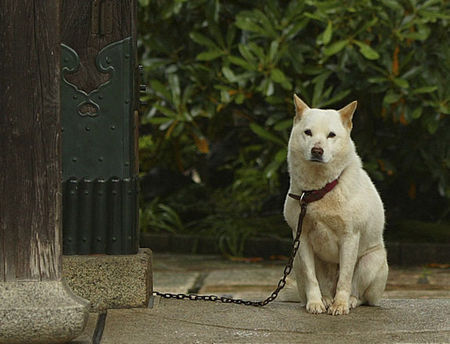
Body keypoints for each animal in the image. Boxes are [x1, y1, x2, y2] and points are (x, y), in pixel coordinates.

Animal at [284, 94, 386, 314]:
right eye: (308, 132)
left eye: (331, 135)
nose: (317, 150)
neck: (320, 190)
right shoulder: (302, 238)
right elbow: (312, 278)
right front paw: (315, 302)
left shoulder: (350, 237)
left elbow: (345, 279)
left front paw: (340, 304)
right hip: (297, 262)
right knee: (318, 286)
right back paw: (325, 299)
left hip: (370, 262)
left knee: (361, 293)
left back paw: (349, 300)